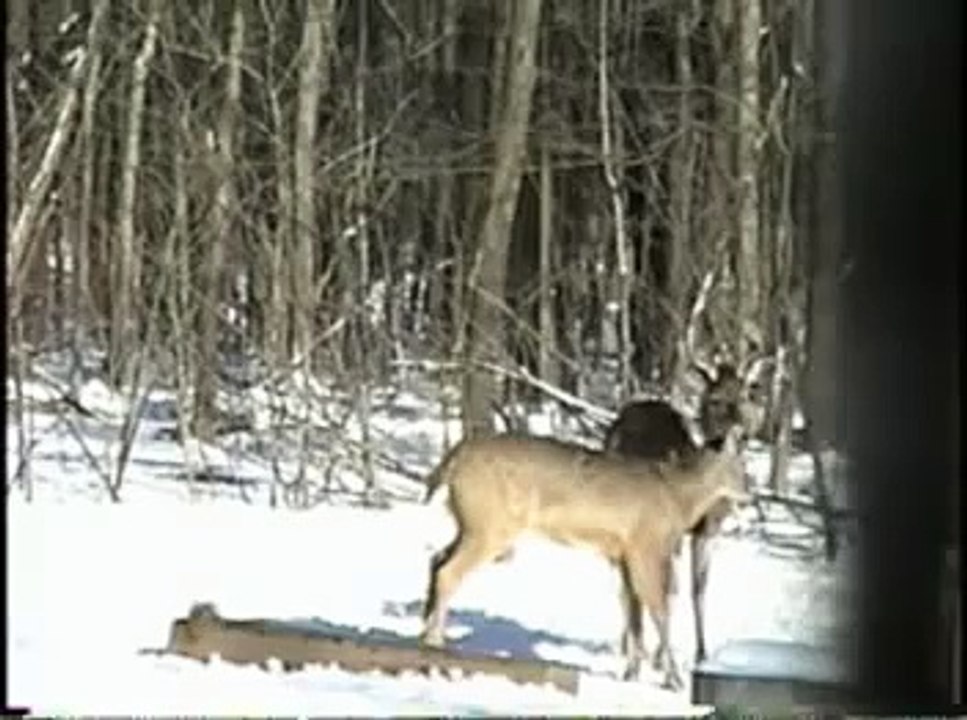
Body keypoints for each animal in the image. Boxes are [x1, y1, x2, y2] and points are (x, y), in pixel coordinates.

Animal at [418, 433, 748, 690]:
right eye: (741, 465)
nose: (748, 492)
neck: (680, 499)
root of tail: (456, 457)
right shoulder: (647, 547)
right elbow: (659, 610)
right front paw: (674, 679)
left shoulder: (623, 555)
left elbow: (632, 611)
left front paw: (631, 673)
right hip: (492, 525)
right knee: (448, 572)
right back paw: (437, 656)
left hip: (471, 524)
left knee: (436, 559)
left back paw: (425, 643)